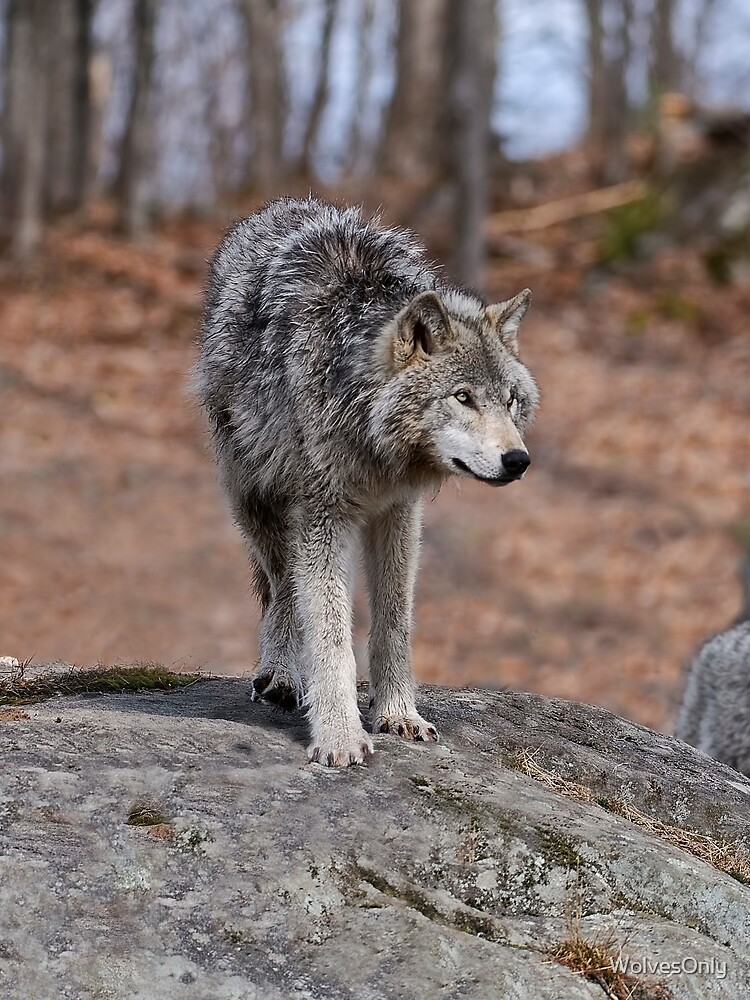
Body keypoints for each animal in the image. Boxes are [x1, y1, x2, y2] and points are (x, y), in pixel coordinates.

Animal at [195, 196, 539, 767]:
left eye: (510, 401)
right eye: (463, 397)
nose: (518, 461)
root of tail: (280, 205)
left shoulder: (399, 511)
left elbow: (393, 622)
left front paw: (398, 714)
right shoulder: (323, 516)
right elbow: (330, 632)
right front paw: (338, 735)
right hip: (257, 500)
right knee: (281, 590)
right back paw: (281, 675)